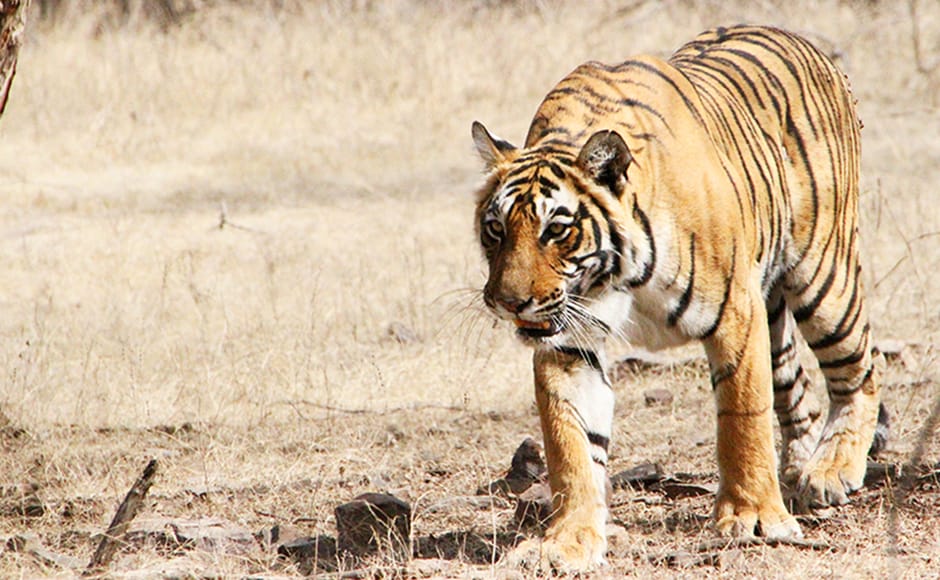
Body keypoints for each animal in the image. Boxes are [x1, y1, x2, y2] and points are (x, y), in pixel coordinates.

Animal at [470, 23, 888, 572]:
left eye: (556, 230)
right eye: (496, 230)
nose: (509, 302)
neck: (616, 275)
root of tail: (805, 41)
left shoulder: (736, 313)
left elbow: (742, 417)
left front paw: (752, 518)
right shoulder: (569, 341)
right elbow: (570, 443)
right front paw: (566, 541)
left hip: (823, 275)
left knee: (861, 367)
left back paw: (830, 471)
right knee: (797, 390)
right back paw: (797, 474)